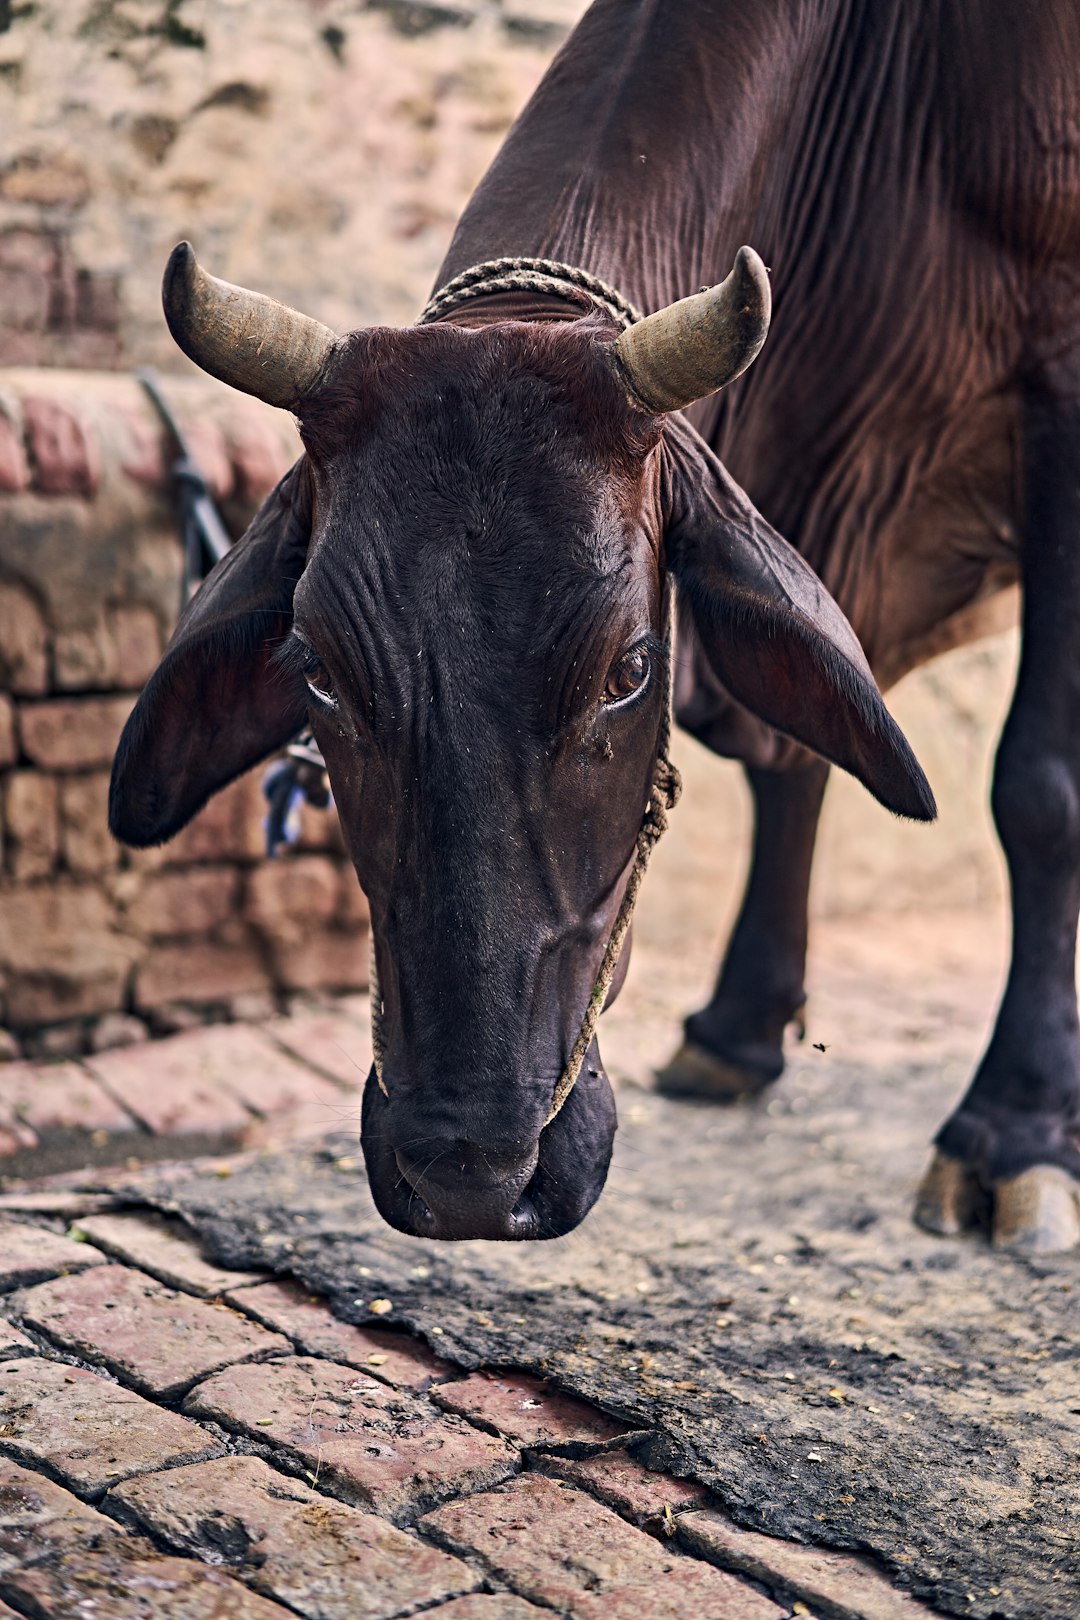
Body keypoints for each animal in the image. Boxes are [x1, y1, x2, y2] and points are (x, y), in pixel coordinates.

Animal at [110, 0, 1080, 1250]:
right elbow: (790, 752)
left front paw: (1015, 1129)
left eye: (627, 669)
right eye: (315, 669)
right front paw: (737, 1031)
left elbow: (1038, 787)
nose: (470, 1174)